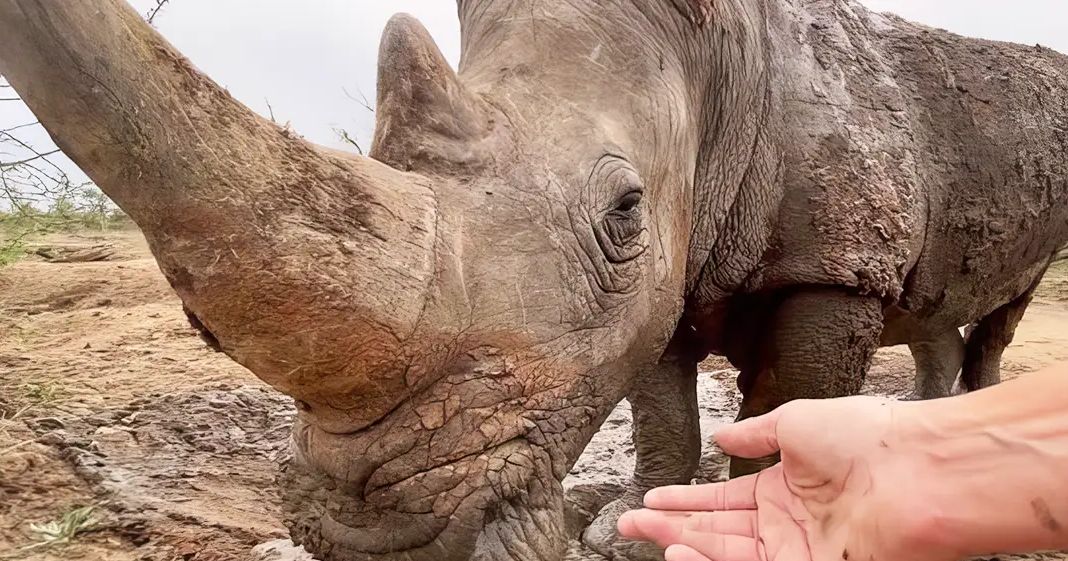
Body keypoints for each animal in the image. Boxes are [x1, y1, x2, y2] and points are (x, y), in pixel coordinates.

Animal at [2, 0, 1066, 560]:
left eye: (625, 211)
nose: (371, 539)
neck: (717, 63)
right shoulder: (672, 272)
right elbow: (664, 411)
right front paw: (634, 529)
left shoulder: (834, 268)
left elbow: (784, 410)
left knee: (1005, 311)